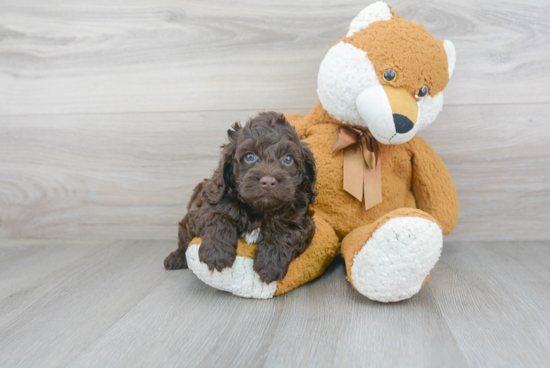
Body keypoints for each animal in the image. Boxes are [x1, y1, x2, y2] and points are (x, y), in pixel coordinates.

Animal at [165, 112, 320, 284]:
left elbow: (287, 233)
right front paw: (216, 254)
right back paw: (175, 258)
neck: (260, 209)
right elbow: (217, 219)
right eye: (249, 156)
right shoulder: (204, 207)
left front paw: (269, 265)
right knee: (183, 242)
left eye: (287, 159)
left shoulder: (303, 223)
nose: (268, 182)